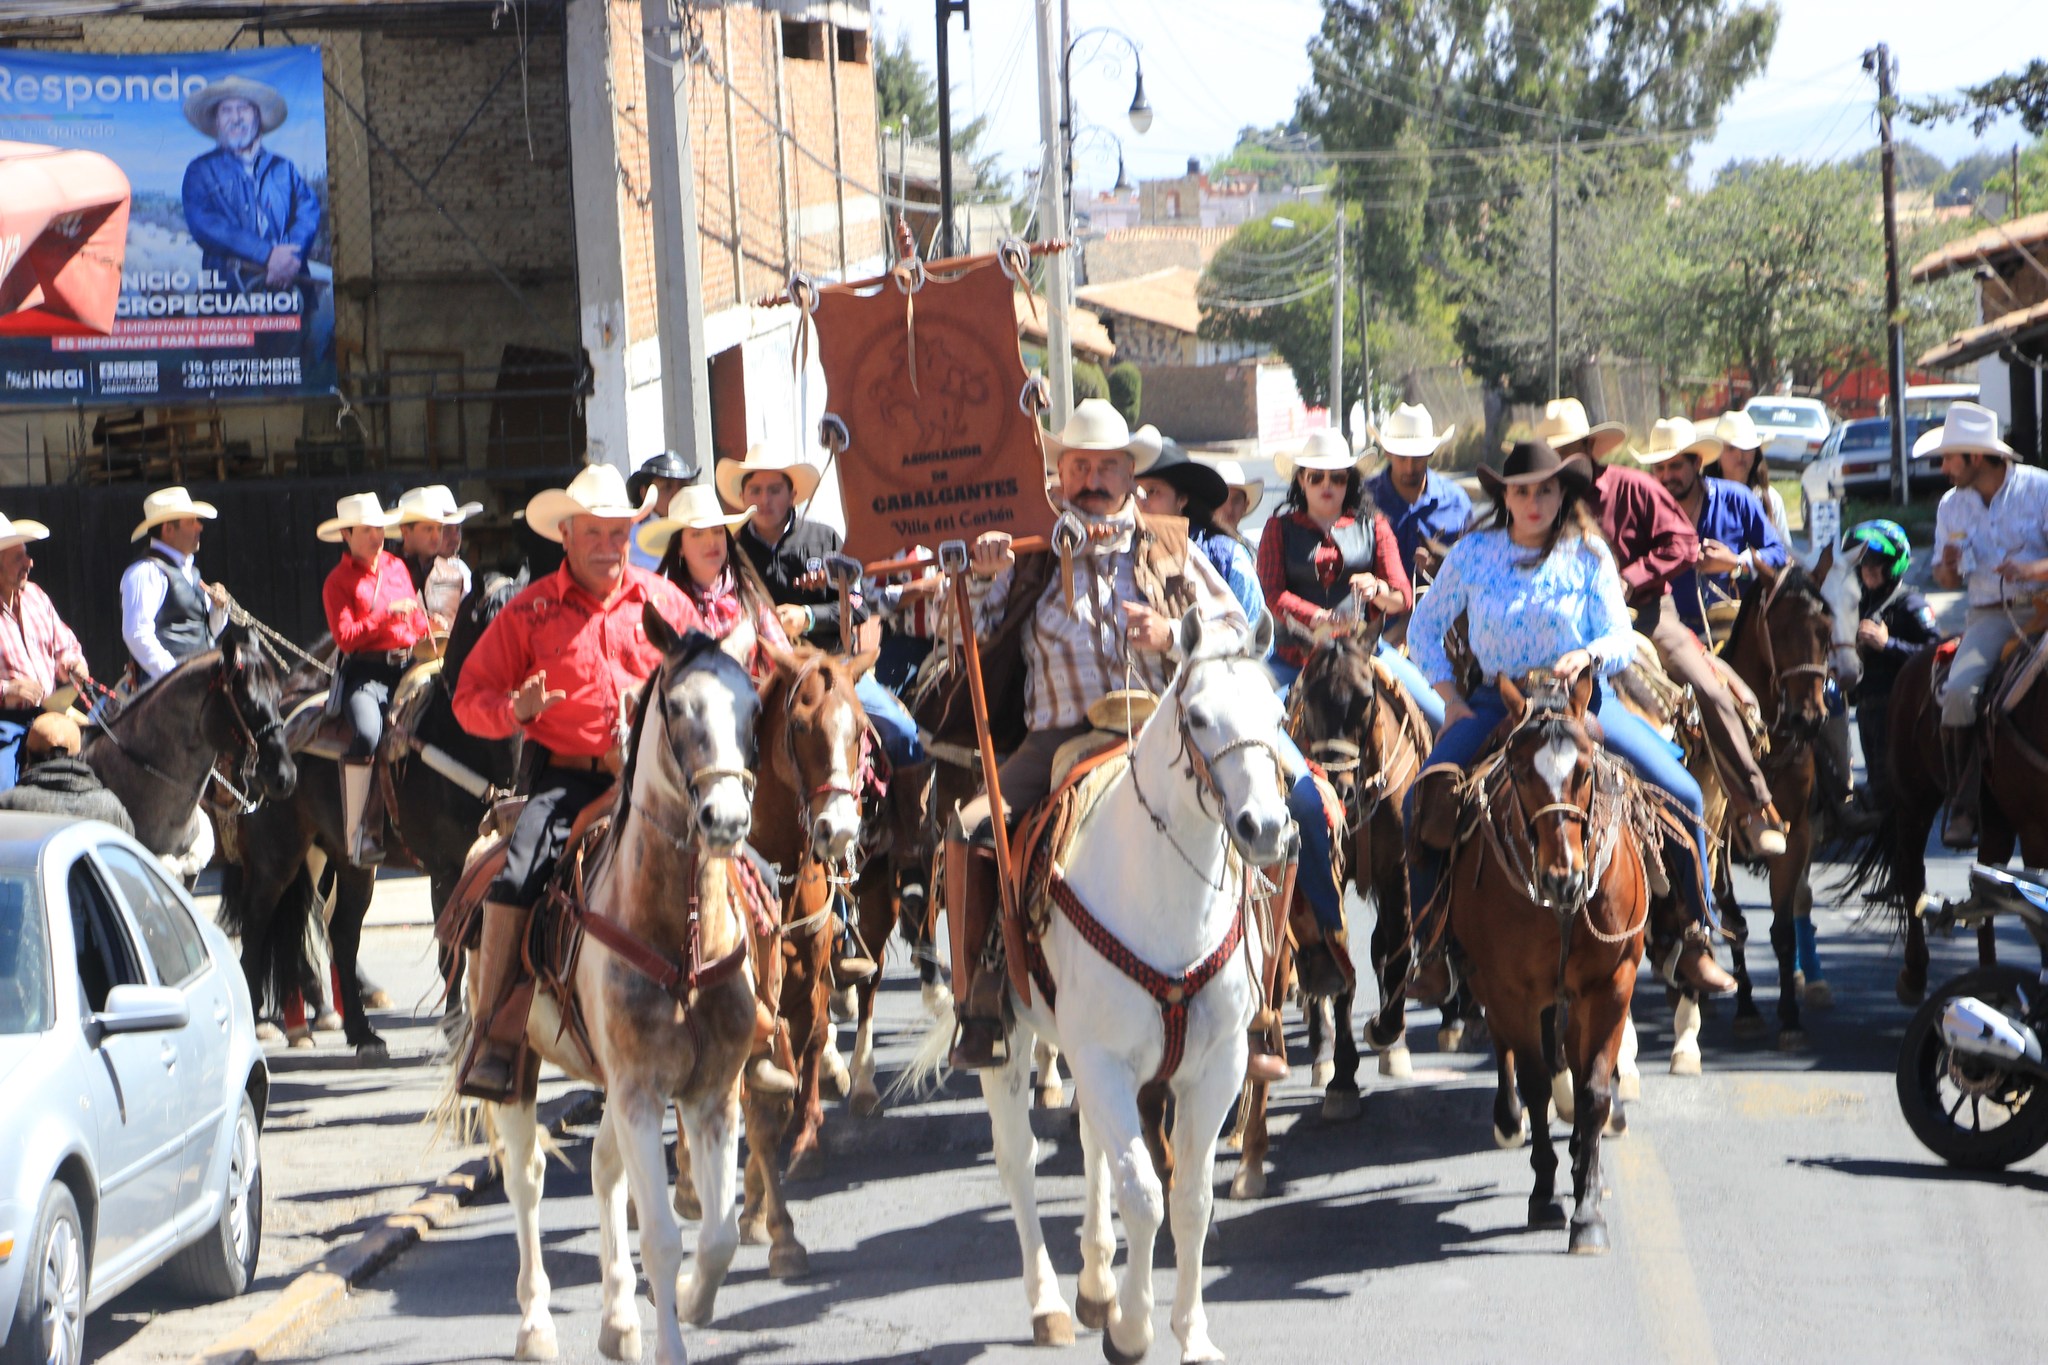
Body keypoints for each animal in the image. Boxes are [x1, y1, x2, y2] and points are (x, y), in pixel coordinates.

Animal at [220, 573, 524, 1055]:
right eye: (491, 621)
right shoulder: (446, 867)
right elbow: (450, 949)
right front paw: (455, 1027)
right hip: (276, 860)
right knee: (257, 929)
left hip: (350, 863)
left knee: (341, 933)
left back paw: (361, 1033)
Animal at [937, 613, 1286, 1365]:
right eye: (1198, 716)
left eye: (1277, 714)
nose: (1266, 827)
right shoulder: (1101, 1060)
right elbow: (1145, 1193)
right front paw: (1132, 1330)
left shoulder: (1216, 1067)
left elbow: (1189, 1201)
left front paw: (1192, 1333)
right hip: (1009, 1042)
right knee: (1019, 1161)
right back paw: (1048, 1304)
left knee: (1093, 1143)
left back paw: (1095, 1283)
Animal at [1449, 671, 1654, 1260]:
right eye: (1519, 772)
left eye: (1584, 770)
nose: (1564, 878)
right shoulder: (1510, 990)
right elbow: (1537, 1082)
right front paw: (1545, 1194)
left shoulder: (1610, 985)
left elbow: (1593, 1091)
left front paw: (1588, 1208)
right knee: (1514, 1054)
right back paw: (1509, 1120)